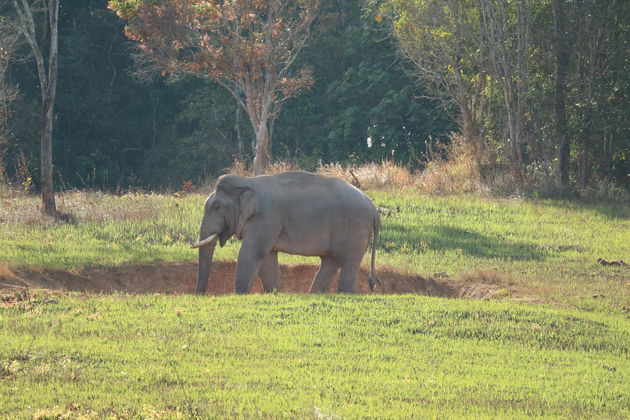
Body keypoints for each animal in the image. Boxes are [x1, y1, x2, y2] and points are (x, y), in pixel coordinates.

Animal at [191, 171, 380, 296]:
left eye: (218, 208)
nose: (200, 295)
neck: (248, 181)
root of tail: (372, 206)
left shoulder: (266, 217)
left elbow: (252, 252)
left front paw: (239, 294)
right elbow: (267, 257)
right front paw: (273, 293)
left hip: (354, 227)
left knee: (348, 261)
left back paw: (345, 294)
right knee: (331, 261)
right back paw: (315, 294)